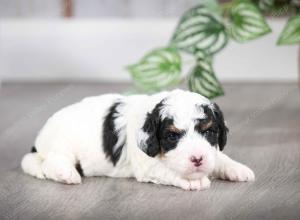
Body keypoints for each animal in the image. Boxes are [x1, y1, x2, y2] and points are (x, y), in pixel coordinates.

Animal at [21, 89, 255, 191]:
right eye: (172, 136)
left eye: (209, 132)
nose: (197, 159)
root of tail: (38, 141)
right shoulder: (147, 166)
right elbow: (167, 170)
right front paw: (194, 181)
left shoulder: (212, 149)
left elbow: (219, 156)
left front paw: (237, 169)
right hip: (61, 143)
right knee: (51, 162)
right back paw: (66, 174)